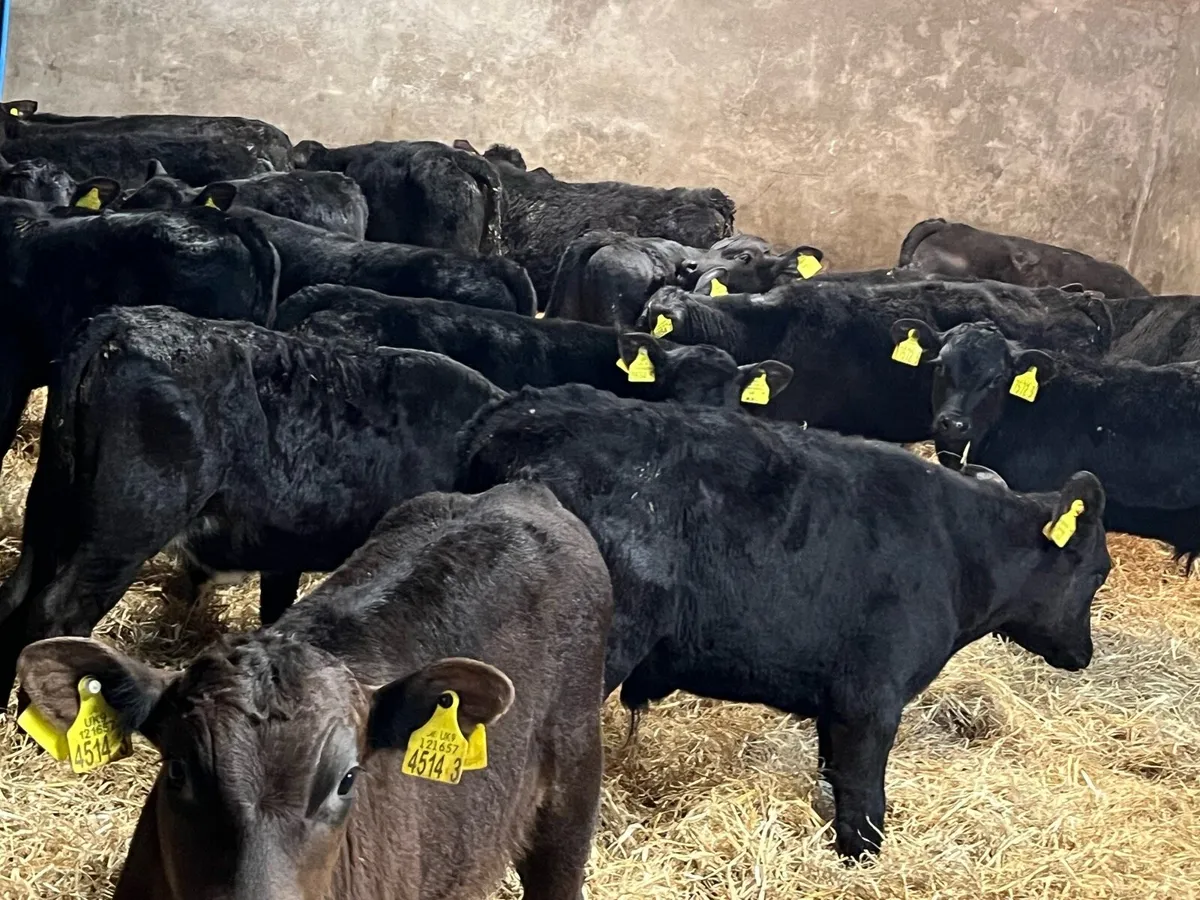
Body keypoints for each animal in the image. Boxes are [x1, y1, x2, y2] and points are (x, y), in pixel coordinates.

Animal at [0, 305, 507, 703]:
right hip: (124, 529)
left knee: (17, 597)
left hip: (51, 509)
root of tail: (122, 323)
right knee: (58, 611)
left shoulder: (285, 555)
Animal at [457, 383, 1111, 858]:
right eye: (1098, 570)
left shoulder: (836, 703)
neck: (957, 548)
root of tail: (517, 413)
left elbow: (834, 778)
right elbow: (864, 796)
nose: (1083, 654)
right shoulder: (870, 700)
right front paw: (862, 859)